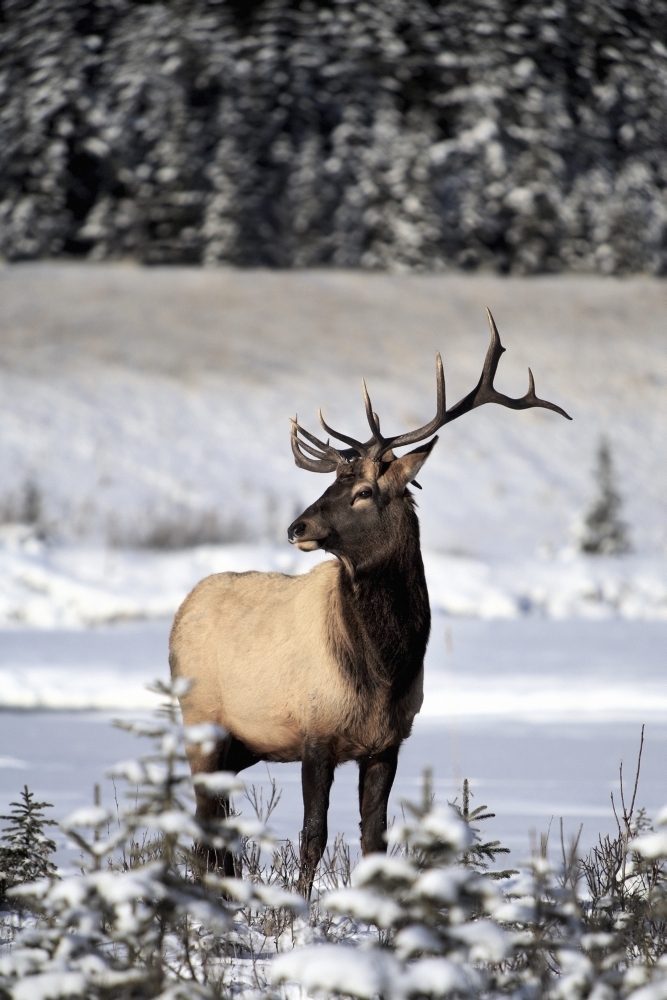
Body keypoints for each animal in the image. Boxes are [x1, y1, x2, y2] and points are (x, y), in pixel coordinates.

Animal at [169, 309, 570, 895]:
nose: (296, 527)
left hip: (241, 745)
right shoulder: (314, 729)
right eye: (332, 483)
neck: (383, 670)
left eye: (363, 492)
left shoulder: (387, 743)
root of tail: (182, 609)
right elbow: (313, 834)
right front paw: (299, 909)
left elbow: (374, 837)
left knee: (216, 829)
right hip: (201, 724)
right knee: (203, 823)